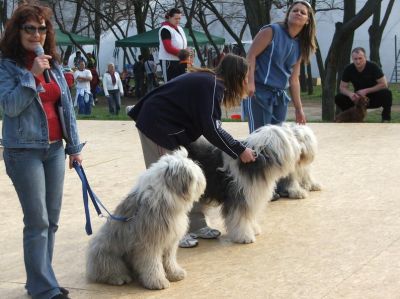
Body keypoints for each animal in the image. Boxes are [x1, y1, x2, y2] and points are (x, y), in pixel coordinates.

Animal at [86, 149, 206, 290]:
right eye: (195, 176)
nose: (203, 182)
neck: (164, 198)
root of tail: (90, 265)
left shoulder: (170, 242)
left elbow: (169, 260)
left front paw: (175, 274)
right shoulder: (149, 244)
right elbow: (153, 264)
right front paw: (158, 282)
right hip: (108, 255)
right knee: (108, 271)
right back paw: (119, 278)